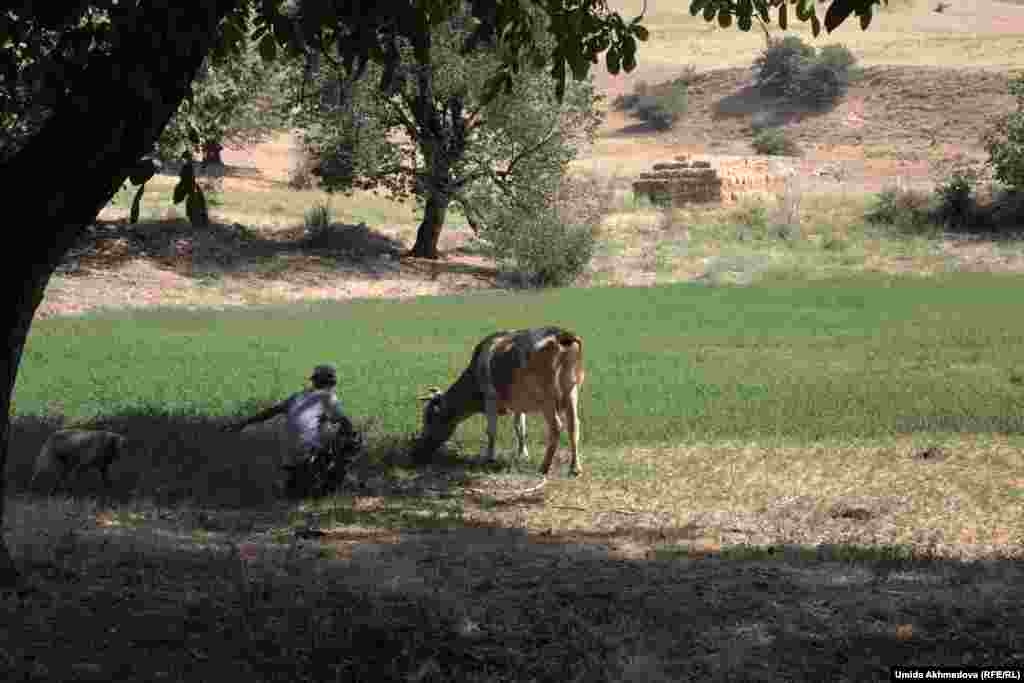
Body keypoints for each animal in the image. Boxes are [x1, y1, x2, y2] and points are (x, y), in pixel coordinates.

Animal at [409, 327, 585, 479]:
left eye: (430, 419)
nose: (416, 453)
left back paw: (544, 467)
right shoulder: (518, 404)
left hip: (547, 396)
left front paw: (489, 457)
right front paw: (523, 454)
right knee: (574, 426)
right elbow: (520, 428)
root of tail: (561, 334)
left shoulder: (490, 399)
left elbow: (491, 431)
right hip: (572, 391)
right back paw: (575, 468)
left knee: (556, 427)